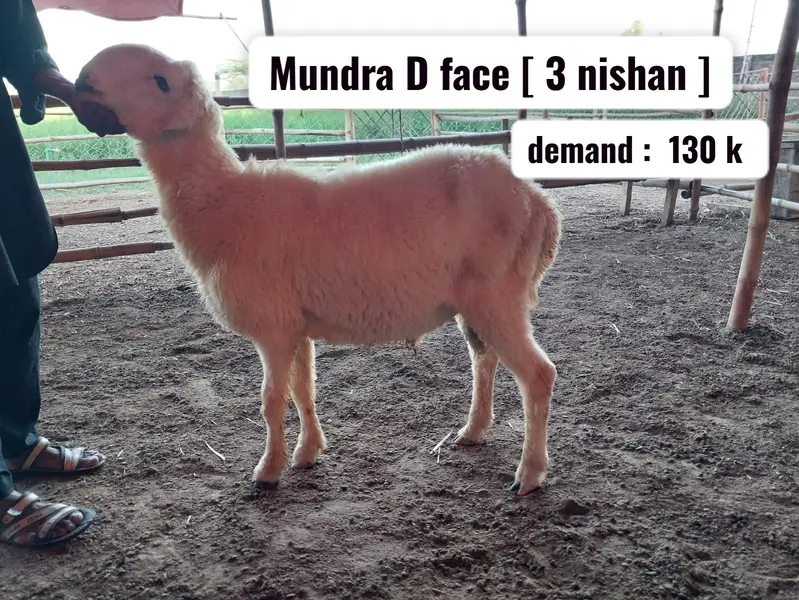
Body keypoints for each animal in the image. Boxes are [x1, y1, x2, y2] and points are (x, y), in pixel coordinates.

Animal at [74, 43, 562, 496]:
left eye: (160, 81)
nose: (83, 79)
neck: (224, 204)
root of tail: (538, 200)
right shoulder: (296, 323)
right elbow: (302, 390)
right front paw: (307, 452)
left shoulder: (273, 324)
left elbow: (271, 400)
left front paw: (268, 471)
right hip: (477, 300)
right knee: (486, 358)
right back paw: (473, 431)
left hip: (496, 292)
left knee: (538, 375)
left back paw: (529, 474)